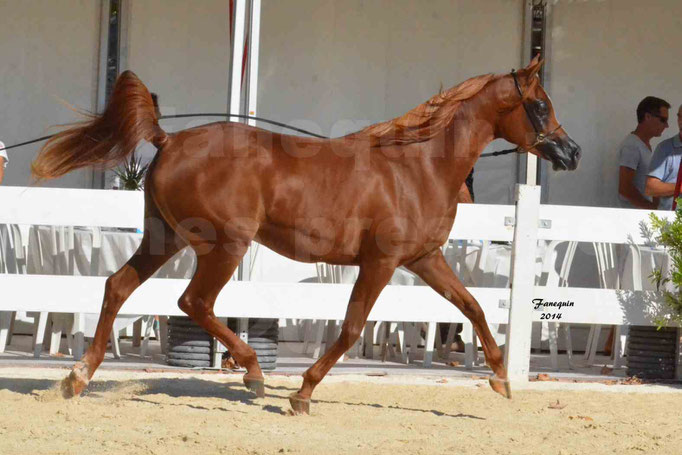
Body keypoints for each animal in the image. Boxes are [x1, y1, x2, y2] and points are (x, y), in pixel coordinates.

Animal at [31, 55, 580, 416]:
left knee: (118, 286)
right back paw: (252, 372)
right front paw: (301, 394)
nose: (571, 152)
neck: (417, 166)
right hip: (225, 245)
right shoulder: (381, 263)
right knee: (194, 302)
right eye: (540, 104)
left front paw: (501, 378)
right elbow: (352, 328)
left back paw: (77, 378)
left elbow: (473, 306)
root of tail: (168, 140)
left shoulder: (426, 259)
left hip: (164, 239)